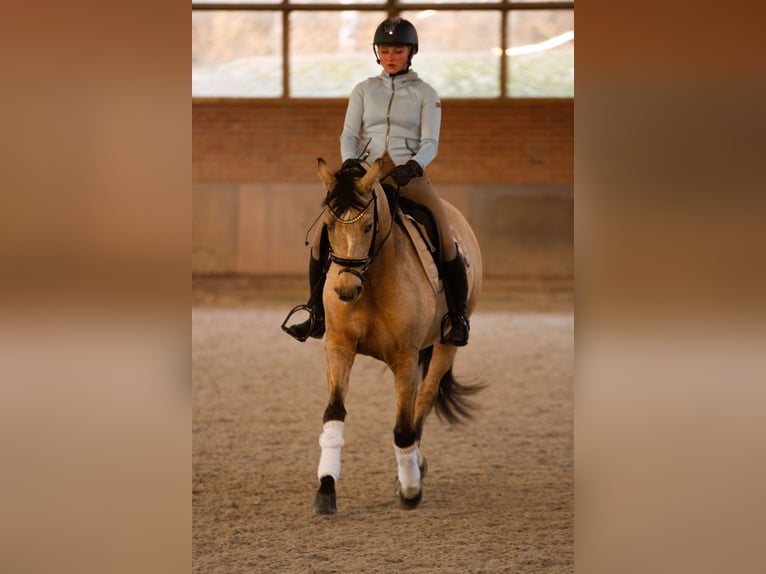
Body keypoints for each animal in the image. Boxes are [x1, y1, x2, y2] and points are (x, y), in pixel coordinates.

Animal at [308, 158, 484, 516]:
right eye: (328, 226)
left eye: (367, 226)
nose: (346, 290)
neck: (371, 282)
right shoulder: (339, 346)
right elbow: (334, 414)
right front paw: (327, 488)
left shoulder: (405, 357)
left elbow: (403, 429)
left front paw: (410, 490)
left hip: (446, 345)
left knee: (424, 399)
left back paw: (415, 467)